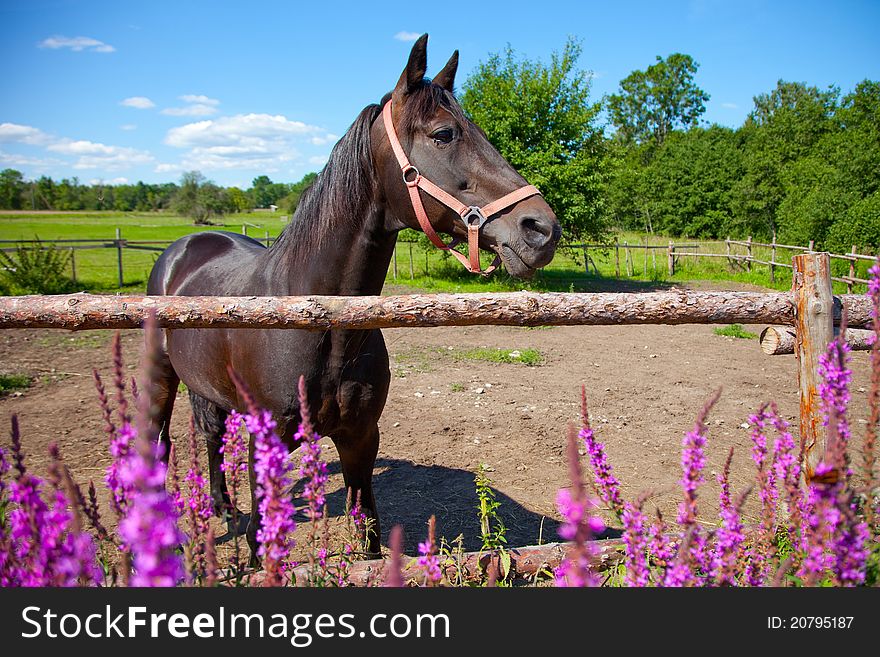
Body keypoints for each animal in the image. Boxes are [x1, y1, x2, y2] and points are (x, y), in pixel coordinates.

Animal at [144, 34, 556, 560]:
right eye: (444, 134)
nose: (541, 228)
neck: (318, 322)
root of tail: (186, 246)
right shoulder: (266, 447)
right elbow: (262, 544)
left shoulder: (360, 440)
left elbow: (370, 540)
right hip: (161, 380)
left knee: (211, 434)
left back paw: (220, 506)